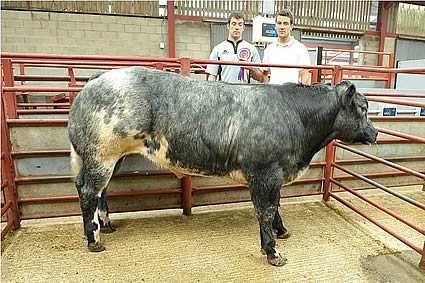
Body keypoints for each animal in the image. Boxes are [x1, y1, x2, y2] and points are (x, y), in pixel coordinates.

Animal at [68, 66, 376, 266]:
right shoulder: (265, 174)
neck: (296, 117)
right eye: (363, 108)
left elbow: (275, 207)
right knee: (88, 193)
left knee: (102, 192)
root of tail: (100, 77)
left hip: (112, 158)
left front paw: (282, 231)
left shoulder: (272, 177)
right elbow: (265, 212)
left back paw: (106, 226)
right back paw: (94, 239)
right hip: (101, 157)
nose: (374, 133)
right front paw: (273, 252)